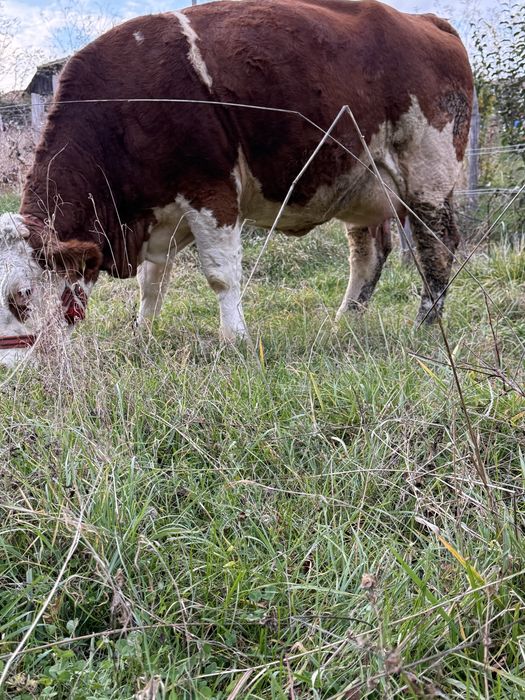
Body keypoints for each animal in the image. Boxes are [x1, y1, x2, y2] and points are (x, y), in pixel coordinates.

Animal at [0, 0, 473, 366]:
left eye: (24, 293)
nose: (7, 366)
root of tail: (427, 21)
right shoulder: (158, 215)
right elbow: (152, 283)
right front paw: (143, 332)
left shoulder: (211, 193)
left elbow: (221, 276)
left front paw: (235, 339)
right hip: (361, 182)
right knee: (369, 252)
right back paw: (345, 323)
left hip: (428, 172)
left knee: (438, 247)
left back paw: (425, 323)